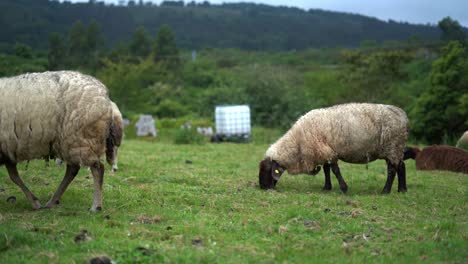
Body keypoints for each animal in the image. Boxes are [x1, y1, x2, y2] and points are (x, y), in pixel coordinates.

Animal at [0, 70, 123, 210]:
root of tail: (104, 95)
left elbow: (14, 177)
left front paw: (34, 202)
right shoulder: (7, 151)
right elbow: (14, 176)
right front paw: (34, 201)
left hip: (81, 140)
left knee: (97, 169)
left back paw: (96, 206)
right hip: (71, 143)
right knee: (72, 170)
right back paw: (53, 200)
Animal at [260, 103, 410, 194]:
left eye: (267, 170)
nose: (262, 187)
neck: (297, 143)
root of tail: (403, 115)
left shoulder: (328, 152)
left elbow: (335, 170)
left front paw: (343, 188)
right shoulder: (324, 151)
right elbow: (326, 170)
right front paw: (327, 187)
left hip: (393, 146)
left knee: (392, 170)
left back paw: (386, 190)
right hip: (395, 149)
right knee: (401, 166)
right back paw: (402, 189)